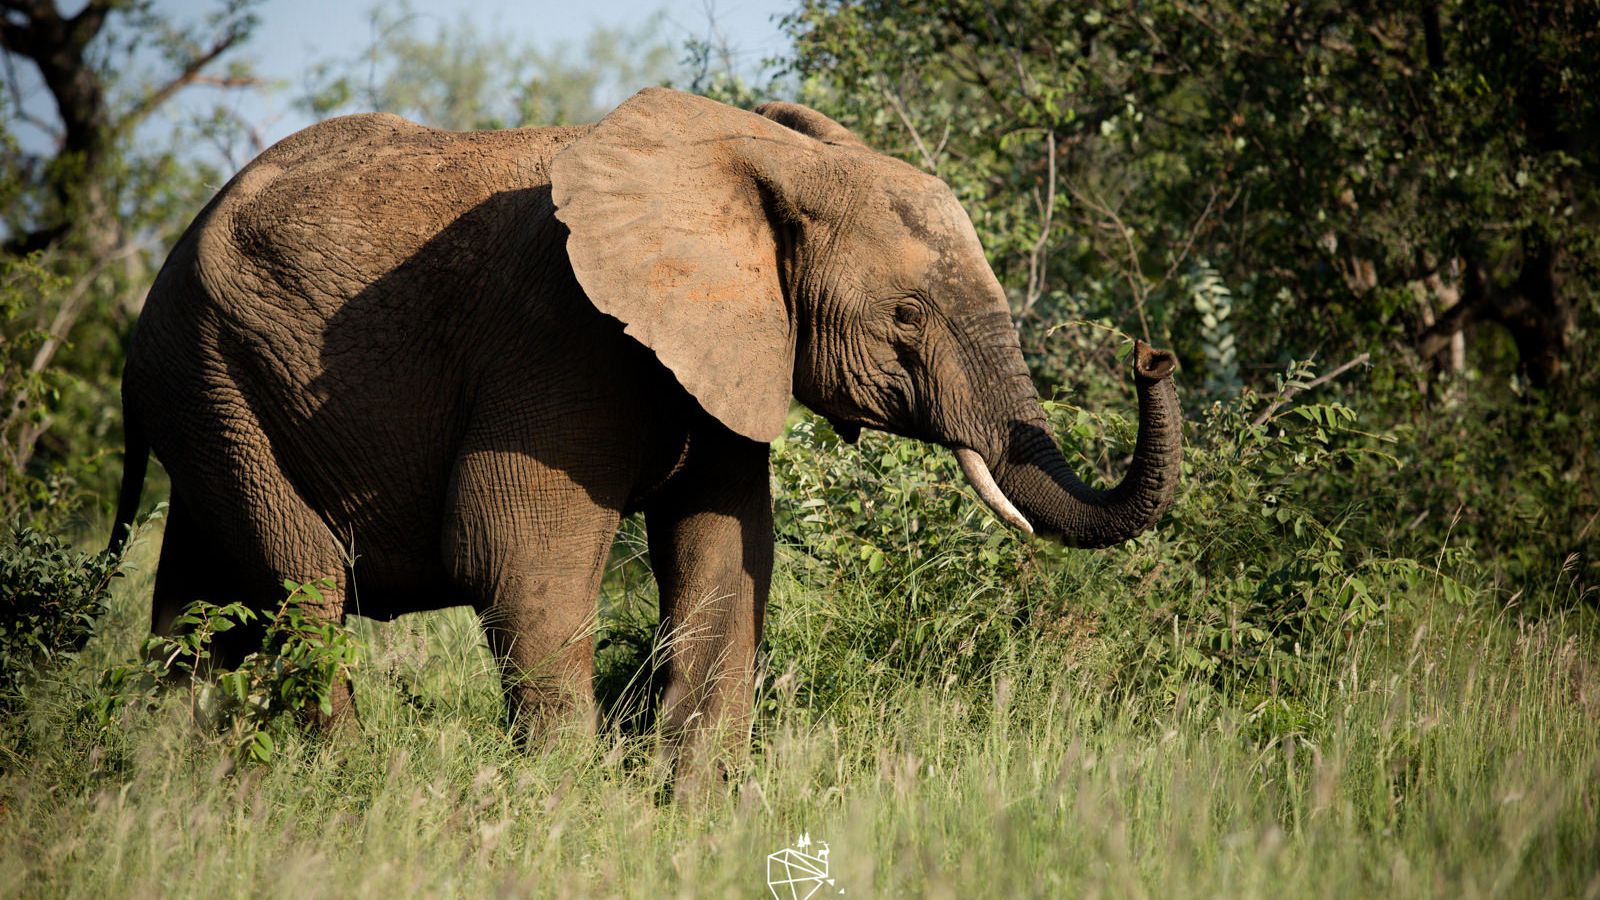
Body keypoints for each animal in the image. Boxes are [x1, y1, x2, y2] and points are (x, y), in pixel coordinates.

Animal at [109, 87, 1181, 775]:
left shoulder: (724, 345)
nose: (1152, 356)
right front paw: (561, 807)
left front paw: (697, 810)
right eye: (908, 318)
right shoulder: (562, 337)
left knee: (196, 610)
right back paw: (345, 785)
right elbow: (514, 551)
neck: (757, 157)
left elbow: (726, 553)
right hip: (208, 372)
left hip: (210, 394)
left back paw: (177, 783)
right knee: (306, 586)